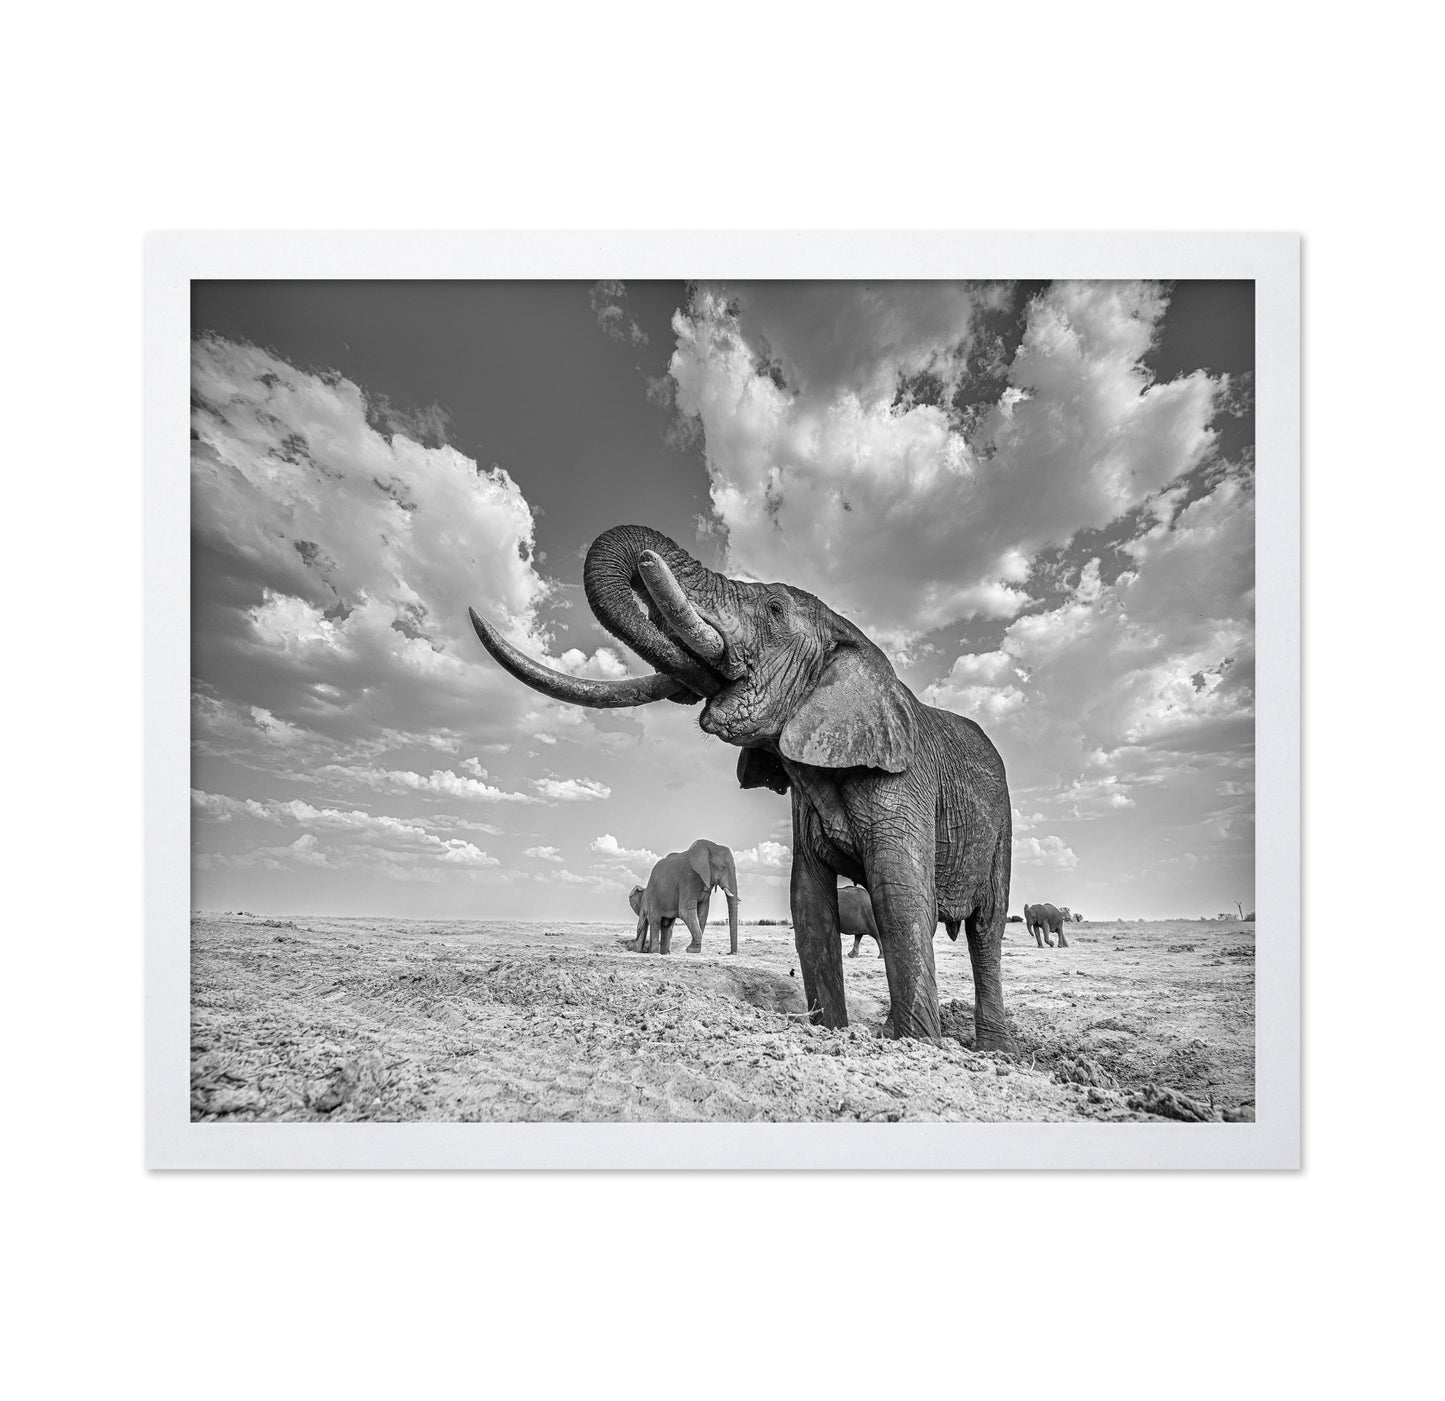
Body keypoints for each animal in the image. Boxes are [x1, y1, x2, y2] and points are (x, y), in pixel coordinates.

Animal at [469, 524, 1014, 1049]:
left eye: (773, 609)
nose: (647, 561)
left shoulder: (903, 781)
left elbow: (901, 900)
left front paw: (919, 1044)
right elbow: (808, 906)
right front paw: (832, 1030)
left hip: (1003, 825)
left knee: (986, 929)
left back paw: (996, 1051)